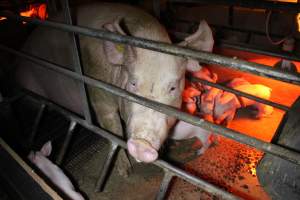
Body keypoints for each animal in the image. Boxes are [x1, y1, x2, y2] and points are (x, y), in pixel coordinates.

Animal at [15, 2, 213, 175]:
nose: (142, 144)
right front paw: (125, 172)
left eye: (172, 88)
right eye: (132, 83)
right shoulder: (98, 94)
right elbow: (113, 131)